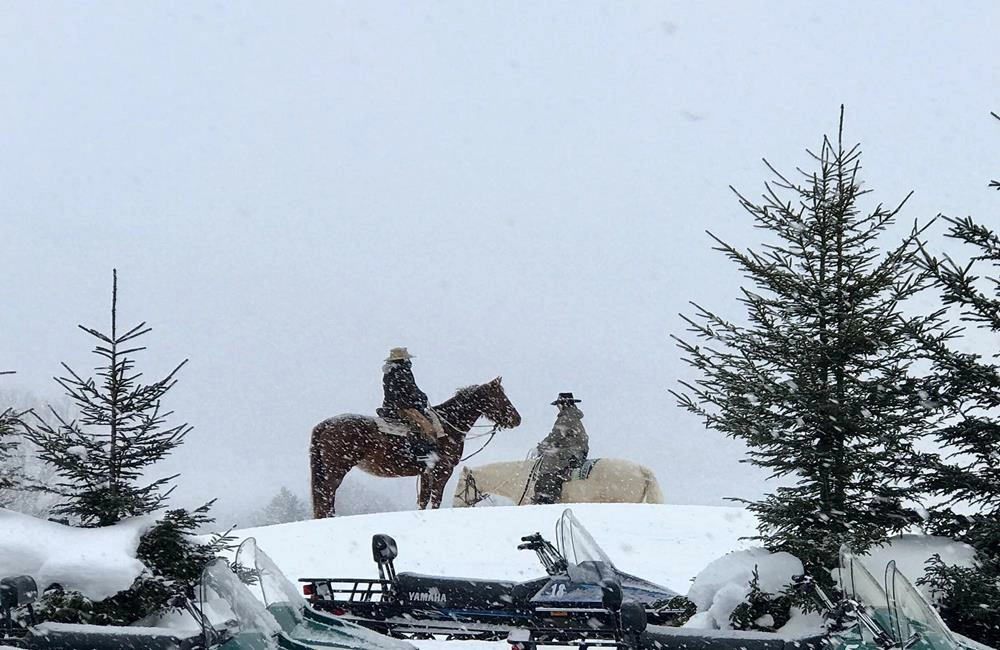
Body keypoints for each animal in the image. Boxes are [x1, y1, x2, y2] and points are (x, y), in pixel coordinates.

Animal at [308, 374, 520, 516]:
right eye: (501, 397)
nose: (517, 419)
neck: (447, 425)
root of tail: (324, 424)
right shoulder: (442, 471)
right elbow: (436, 500)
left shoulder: (426, 473)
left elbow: (423, 501)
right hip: (336, 470)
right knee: (326, 496)